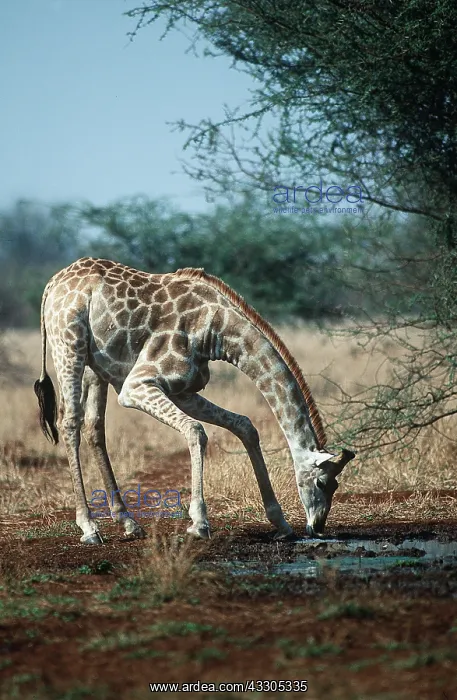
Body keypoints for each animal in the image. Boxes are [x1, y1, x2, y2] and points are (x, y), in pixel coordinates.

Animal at [34, 257, 355, 544]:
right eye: (323, 482)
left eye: (336, 484)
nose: (317, 527)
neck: (217, 331)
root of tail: (51, 285)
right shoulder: (136, 385)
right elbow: (196, 431)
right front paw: (199, 523)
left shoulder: (184, 391)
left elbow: (245, 426)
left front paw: (281, 523)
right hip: (68, 345)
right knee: (69, 422)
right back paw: (89, 527)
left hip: (95, 365)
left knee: (93, 427)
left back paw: (128, 522)